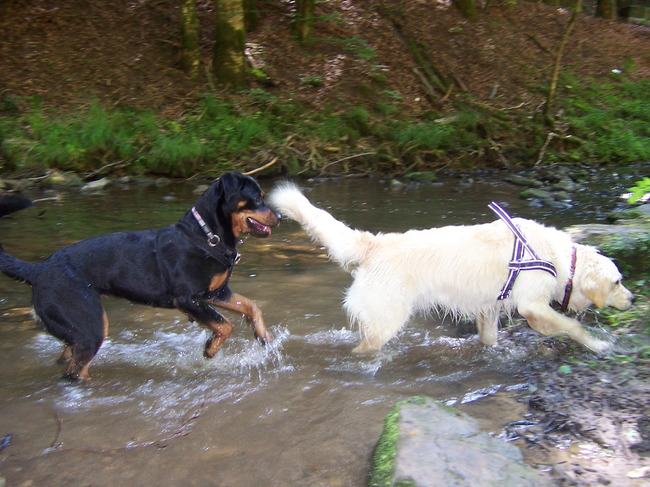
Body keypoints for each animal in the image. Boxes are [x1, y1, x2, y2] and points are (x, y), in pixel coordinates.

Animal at [0, 172, 280, 379]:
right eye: (257, 197)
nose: (278, 216)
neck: (206, 236)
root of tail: (37, 270)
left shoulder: (216, 293)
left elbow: (251, 306)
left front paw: (263, 335)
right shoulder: (188, 299)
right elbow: (225, 325)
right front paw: (210, 348)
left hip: (75, 329)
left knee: (68, 357)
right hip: (90, 327)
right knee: (75, 372)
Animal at [269, 183, 635, 353]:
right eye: (617, 282)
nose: (633, 300)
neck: (556, 257)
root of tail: (374, 243)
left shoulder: (489, 307)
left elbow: (489, 337)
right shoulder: (532, 305)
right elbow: (571, 326)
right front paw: (599, 345)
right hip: (387, 319)